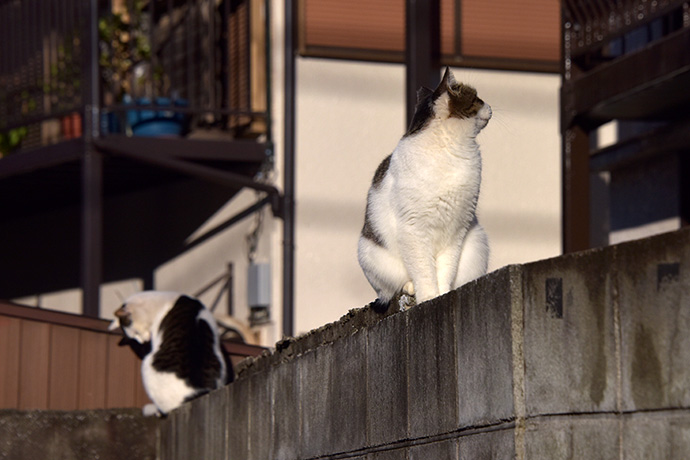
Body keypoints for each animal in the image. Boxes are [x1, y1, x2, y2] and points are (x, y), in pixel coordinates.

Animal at [360, 67, 490, 312]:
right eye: (477, 98)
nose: (489, 105)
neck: (448, 148)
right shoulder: (413, 229)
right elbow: (423, 269)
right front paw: (429, 296)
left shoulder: (457, 227)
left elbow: (446, 268)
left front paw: (443, 293)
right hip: (369, 252)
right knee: (394, 285)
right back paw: (409, 287)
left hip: (477, 242)